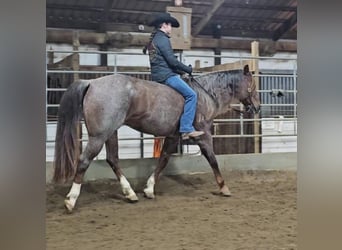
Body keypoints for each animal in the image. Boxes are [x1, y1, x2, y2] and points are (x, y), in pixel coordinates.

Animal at [52, 64, 260, 211]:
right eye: (252, 85)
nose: (257, 107)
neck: (204, 94)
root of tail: (92, 83)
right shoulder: (204, 135)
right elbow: (213, 160)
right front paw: (224, 188)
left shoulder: (173, 137)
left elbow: (163, 160)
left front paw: (149, 189)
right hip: (99, 135)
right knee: (84, 160)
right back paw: (71, 200)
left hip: (110, 133)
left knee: (112, 159)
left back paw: (130, 193)